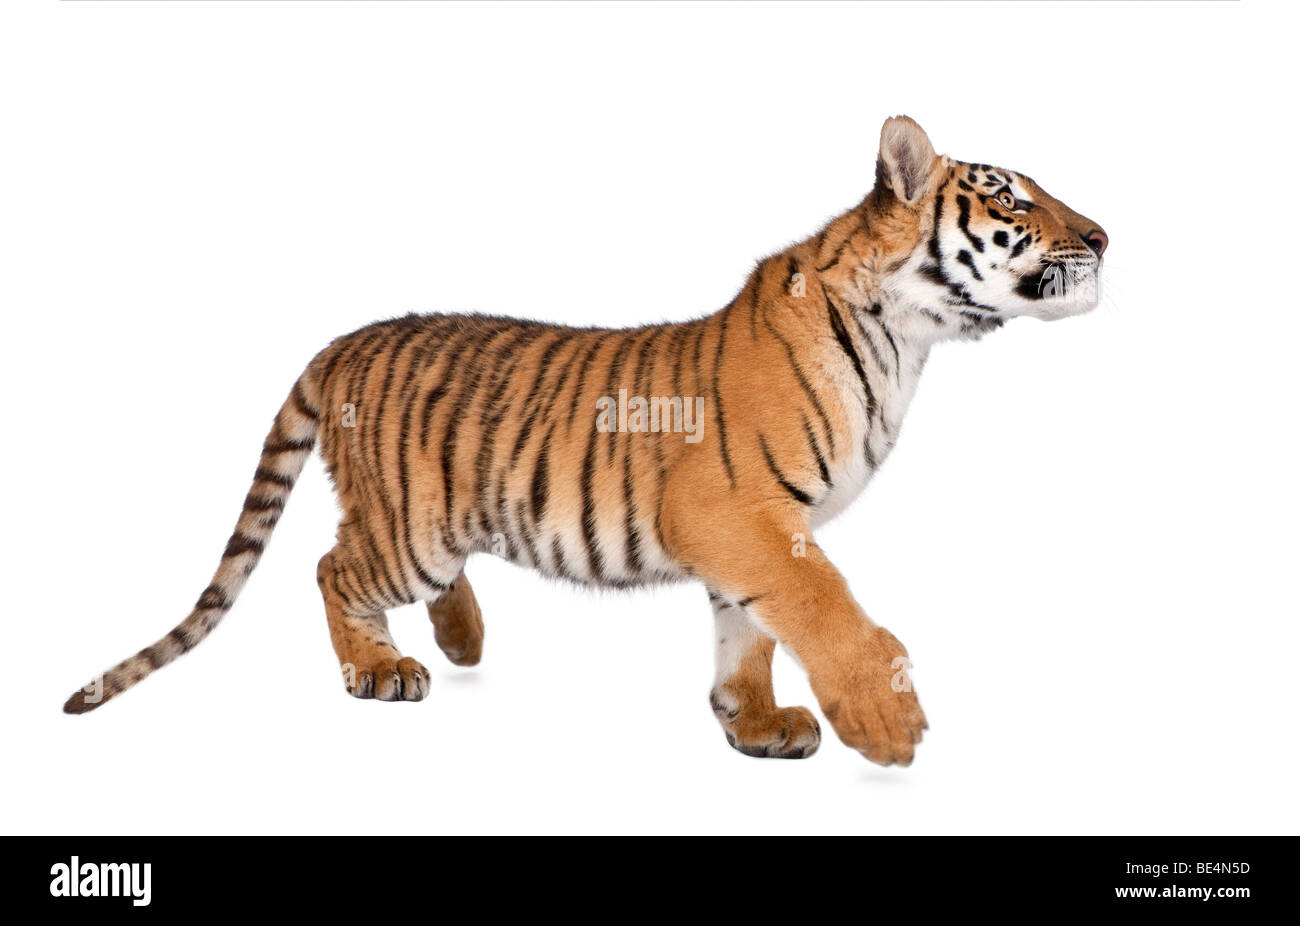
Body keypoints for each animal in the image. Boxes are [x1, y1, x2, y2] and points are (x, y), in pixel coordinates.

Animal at [63, 115, 1107, 764]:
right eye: (1013, 199)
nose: (1102, 236)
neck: (908, 342)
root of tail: (343, 342)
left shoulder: (748, 529)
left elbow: (748, 628)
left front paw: (755, 723)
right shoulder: (739, 510)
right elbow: (822, 605)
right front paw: (887, 720)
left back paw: (463, 637)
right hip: (411, 530)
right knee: (333, 567)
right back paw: (381, 668)